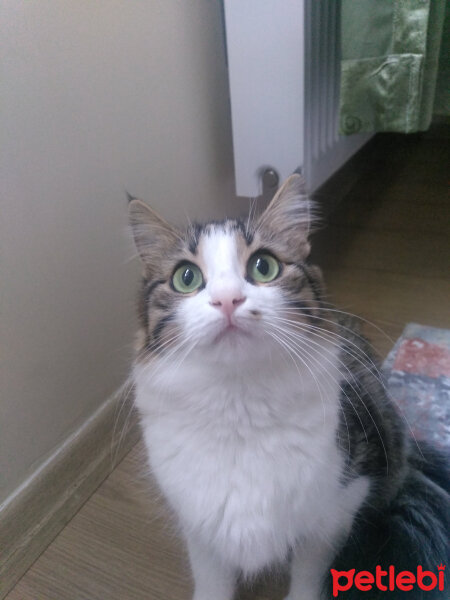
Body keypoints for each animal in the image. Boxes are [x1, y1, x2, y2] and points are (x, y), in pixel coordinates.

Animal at [128, 175, 448, 600]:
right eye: (186, 277)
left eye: (263, 267)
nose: (227, 299)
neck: (238, 405)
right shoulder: (200, 525)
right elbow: (212, 581)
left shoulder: (339, 506)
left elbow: (308, 574)